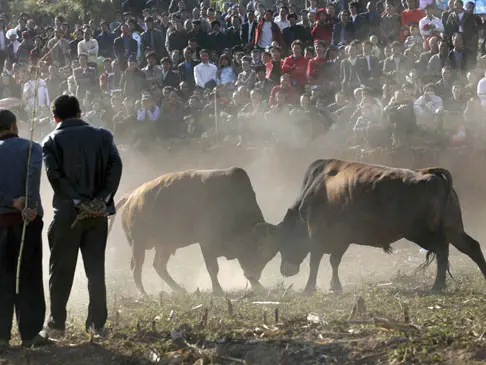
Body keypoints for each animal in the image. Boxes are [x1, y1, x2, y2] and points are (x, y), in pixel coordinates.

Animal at [109, 167, 278, 296]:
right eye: (260, 249)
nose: (254, 275)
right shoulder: (207, 243)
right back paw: (144, 294)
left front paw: (260, 287)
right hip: (138, 245)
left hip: (164, 246)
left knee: (159, 266)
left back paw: (180, 290)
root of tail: (131, 196)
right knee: (137, 269)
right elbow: (213, 268)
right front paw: (218, 290)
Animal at [276, 158, 486, 292]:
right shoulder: (342, 239)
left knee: (447, 249)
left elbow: (316, 261)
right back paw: (440, 285)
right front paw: (335, 287)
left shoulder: (318, 235)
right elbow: (334, 261)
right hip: (450, 228)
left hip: (425, 232)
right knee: (460, 248)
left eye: (284, 241)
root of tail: (428, 173)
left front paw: (309, 288)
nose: (285, 271)